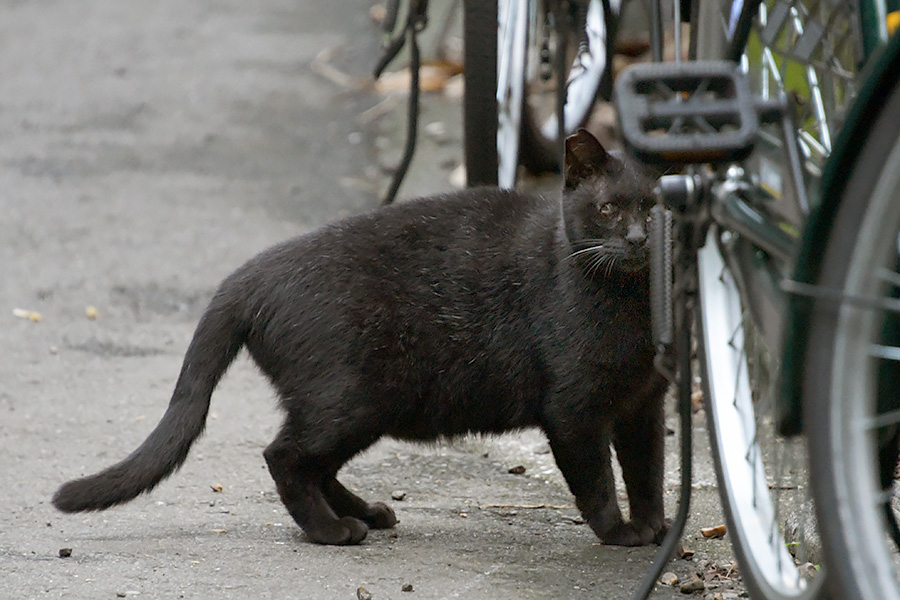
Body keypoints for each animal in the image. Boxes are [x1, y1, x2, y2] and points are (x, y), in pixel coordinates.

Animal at [51, 129, 668, 548]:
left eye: (656, 207)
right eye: (608, 209)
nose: (639, 239)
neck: (634, 306)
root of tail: (248, 275)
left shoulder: (644, 402)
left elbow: (648, 470)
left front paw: (656, 526)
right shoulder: (573, 409)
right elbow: (596, 478)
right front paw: (620, 534)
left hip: (359, 407)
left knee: (315, 465)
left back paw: (367, 513)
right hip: (352, 400)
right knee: (284, 457)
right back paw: (333, 530)